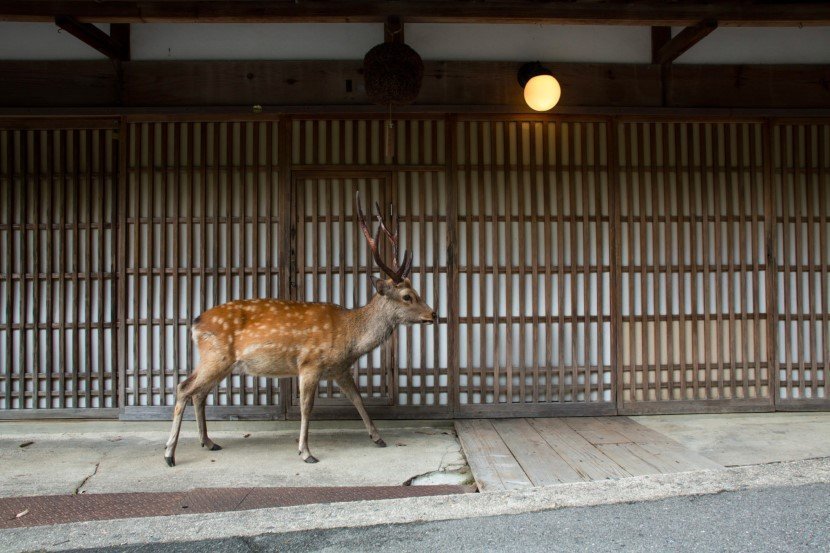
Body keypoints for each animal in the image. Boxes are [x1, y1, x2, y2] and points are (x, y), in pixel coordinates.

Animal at [162, 192, 436, 464]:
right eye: (407, 296)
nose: (433, 313)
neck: (350, 337)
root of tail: (195, 323)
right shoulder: (309, 364)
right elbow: (306, 407)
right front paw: (306, 452)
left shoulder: (340, 369)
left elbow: (357, 399)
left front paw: (378, 438)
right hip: (216, 356)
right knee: (184, 388)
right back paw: (170, 453)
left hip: (218, 361)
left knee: (197, 392)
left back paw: (208, 442)